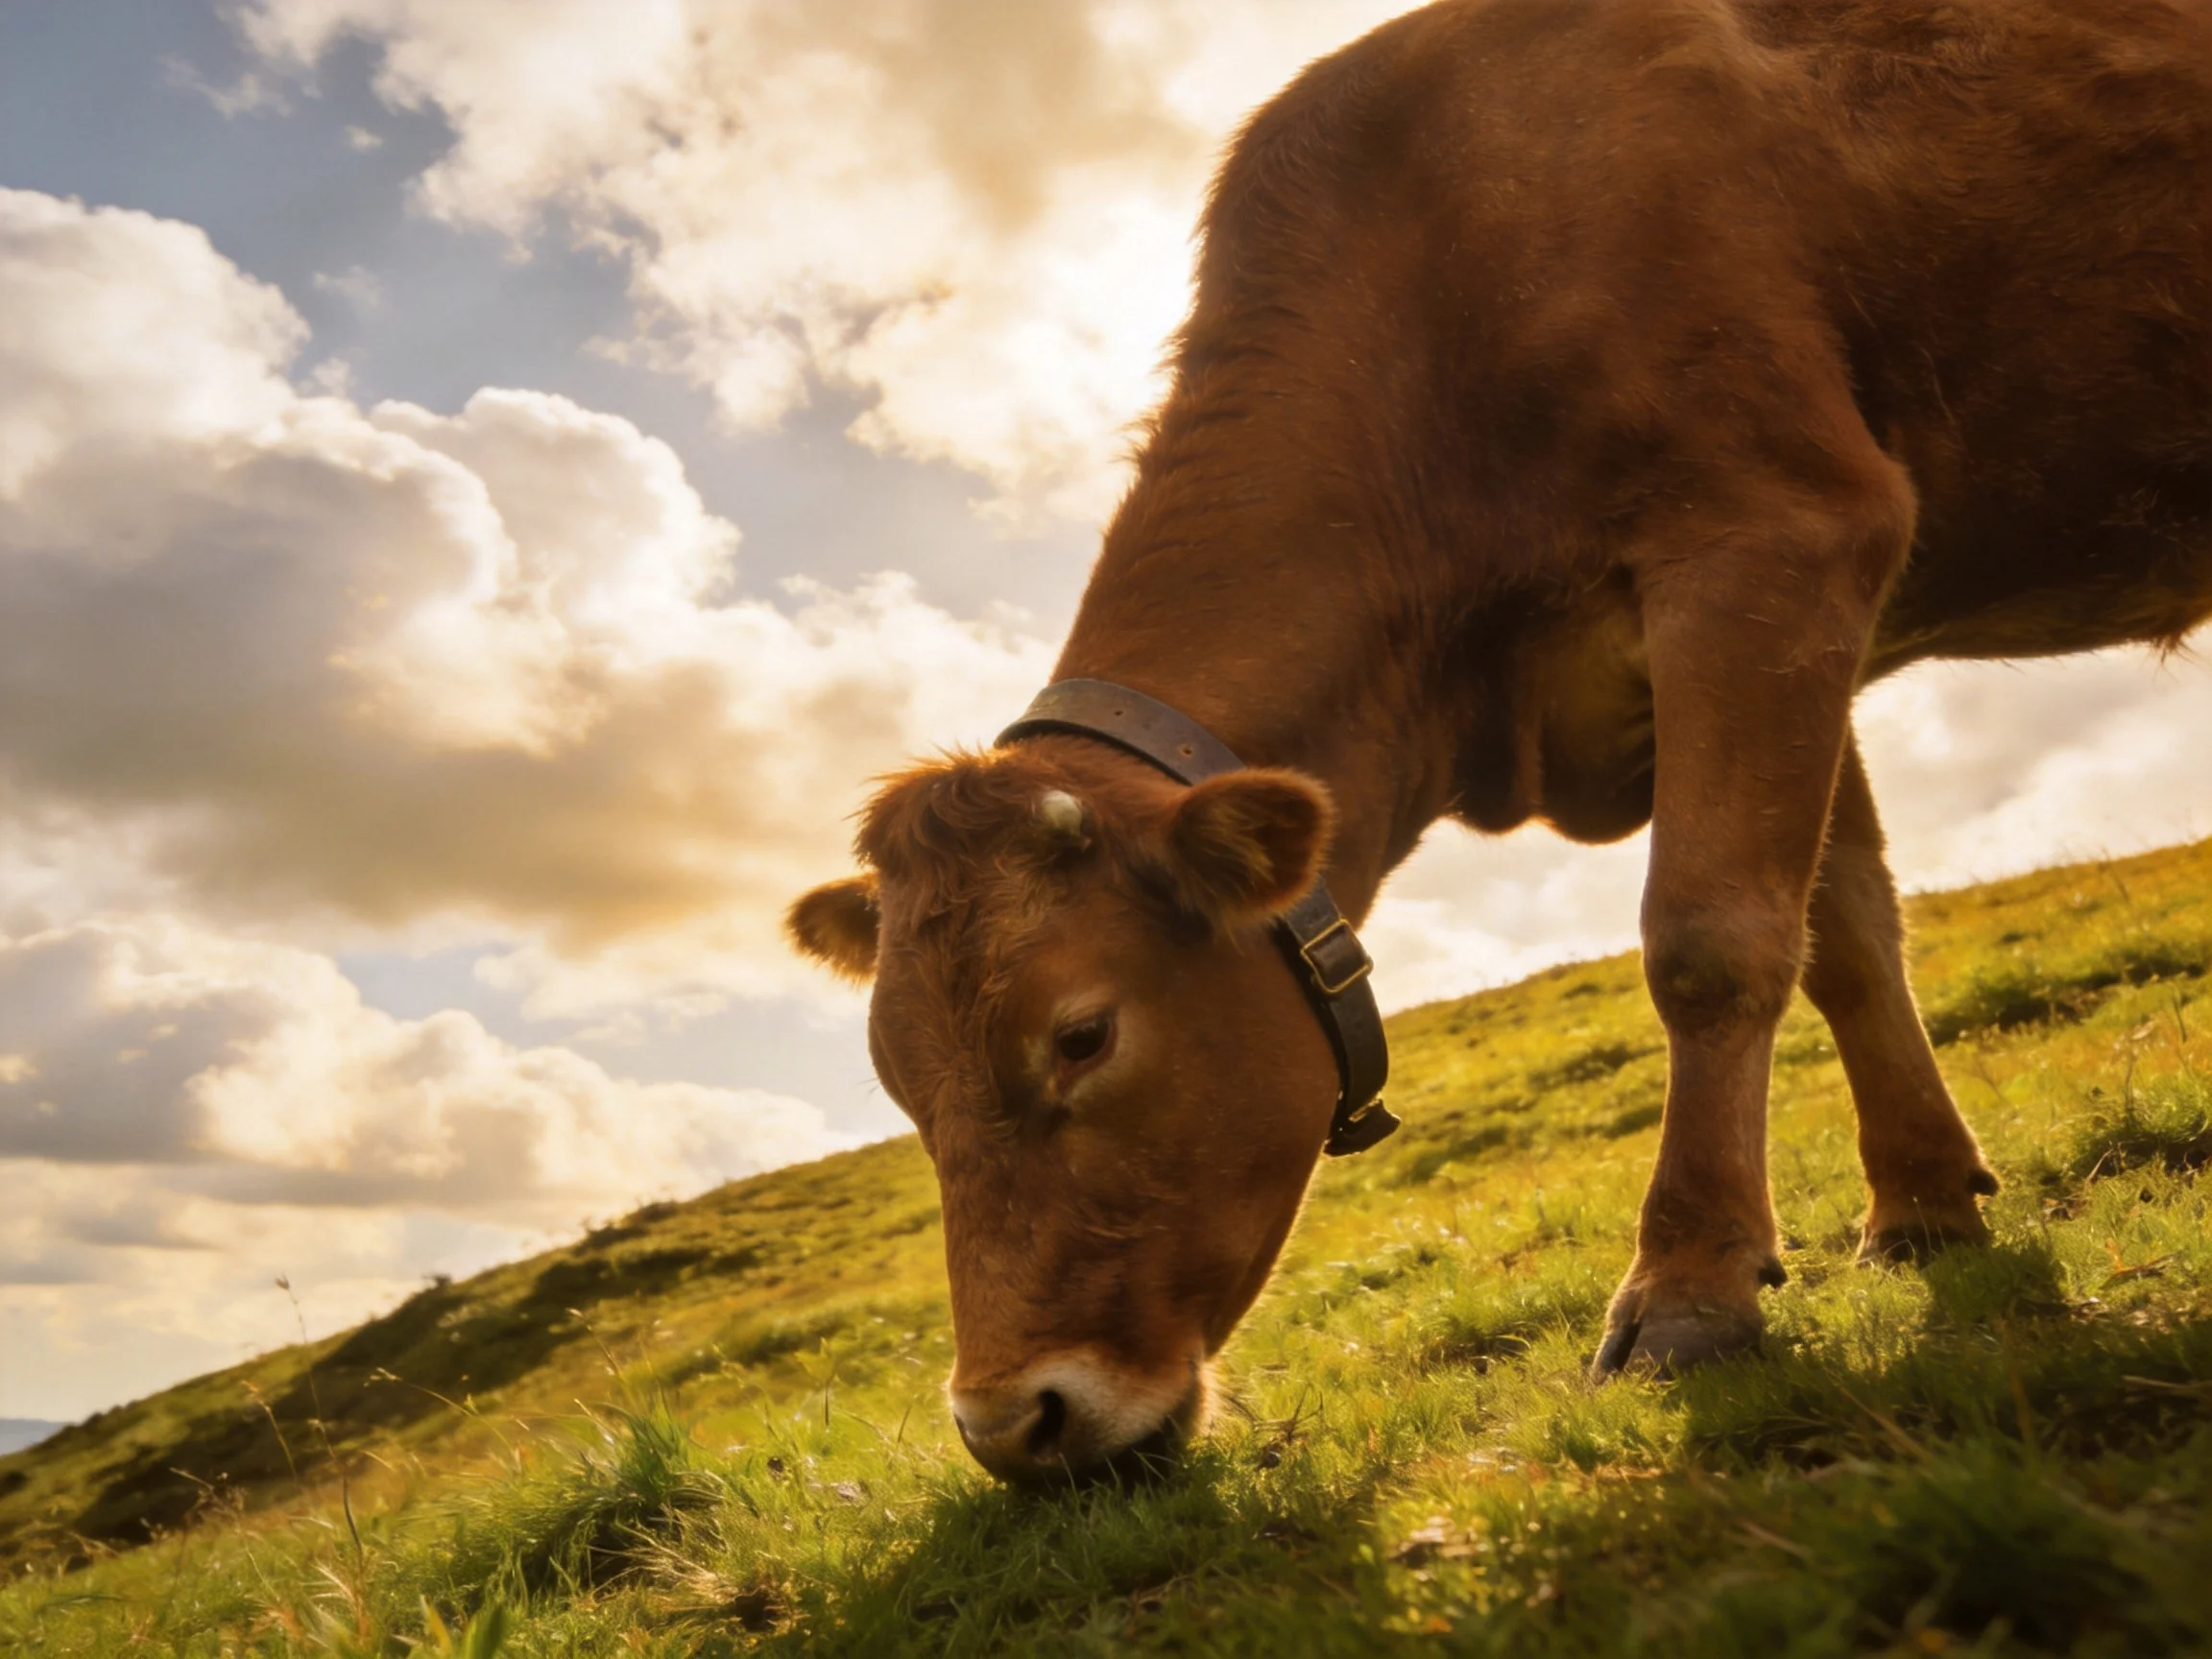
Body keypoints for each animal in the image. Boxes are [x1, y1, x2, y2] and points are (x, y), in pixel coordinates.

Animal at [788, 0, 2212, 1483]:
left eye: (1081, 1035)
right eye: (900, 1082)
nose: (1014, 1423)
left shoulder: (1775, 542)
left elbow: (1712, 941)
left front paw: (1690, 1288)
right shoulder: (1777, 632)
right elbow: (1847, 936)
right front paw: (1925, 1207)